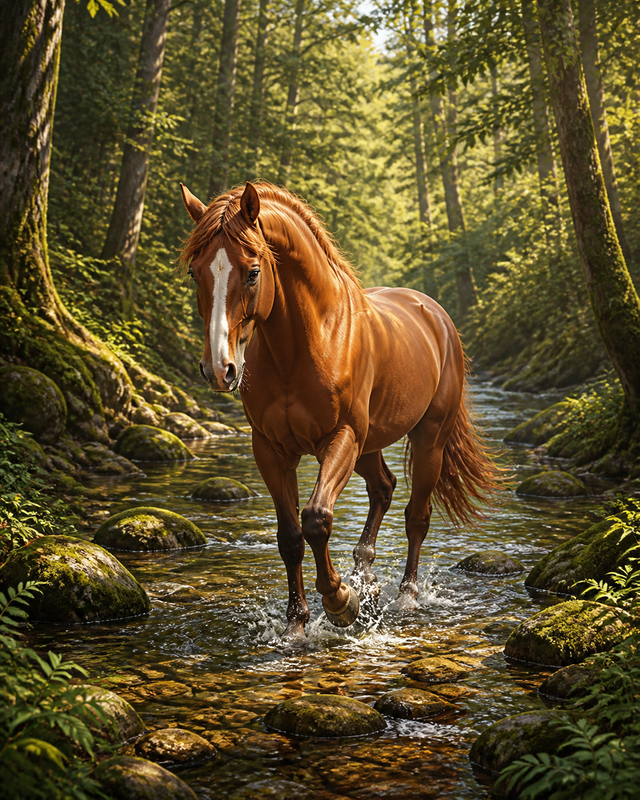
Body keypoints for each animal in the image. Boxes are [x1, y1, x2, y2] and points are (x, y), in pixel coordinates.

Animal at [179, 180, 500, 640]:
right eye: (195, 272)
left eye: (253, 271)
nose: (219, 368)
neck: (306, 343)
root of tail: (435, 315)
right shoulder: (271, 449)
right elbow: (290, 536)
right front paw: (296, 624)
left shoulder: (340, 438)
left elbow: (316, 519)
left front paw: (340, 601)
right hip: (369, 446)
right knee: (383, 487)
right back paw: (366, 577)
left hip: (427, 440)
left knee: (416, 516)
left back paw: (405, 597)